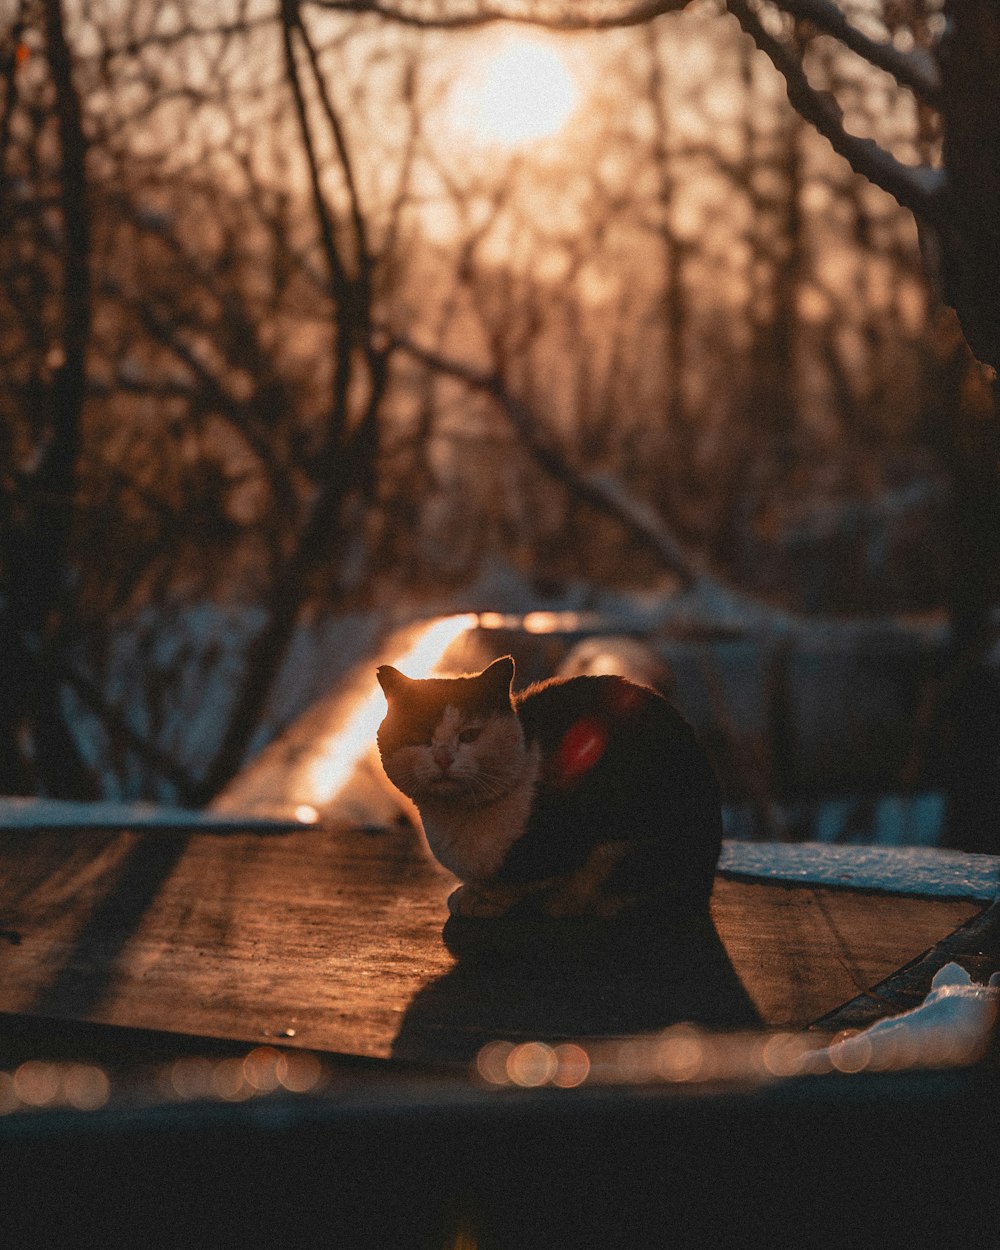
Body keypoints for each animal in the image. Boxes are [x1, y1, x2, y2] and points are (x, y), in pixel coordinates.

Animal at [370, 655, 725, 920]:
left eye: (470, 735)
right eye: (420, 737)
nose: (443, 758)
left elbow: (528, 880)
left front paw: (485, 900)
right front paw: (471, 893)